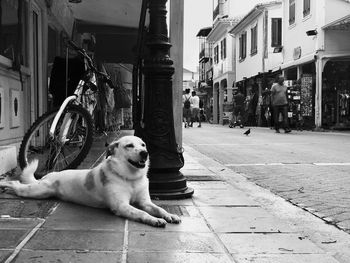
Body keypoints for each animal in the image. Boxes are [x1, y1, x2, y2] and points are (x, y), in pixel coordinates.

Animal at [0, 136, 180, 229]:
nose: (145, 153)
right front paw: (154, 220)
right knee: (17, 185)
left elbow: (158, 208)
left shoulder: (145, 201)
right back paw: (5, 185)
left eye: (143, 145)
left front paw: (169, 215)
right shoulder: (121, 205)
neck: (130, 178)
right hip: (38, 191)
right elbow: (142, 213)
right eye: (129, 145)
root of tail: (48, 175)